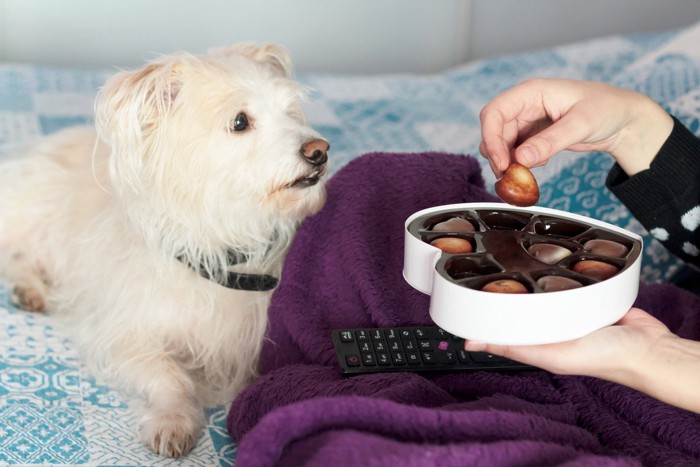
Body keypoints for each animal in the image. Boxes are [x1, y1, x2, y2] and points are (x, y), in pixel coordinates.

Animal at [0, 44, 328, 458]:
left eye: (291, 112)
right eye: (240, 122)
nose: (320, 151)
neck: (222, 245)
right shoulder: (122, 335)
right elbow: (169, 375)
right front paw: (173, 421)